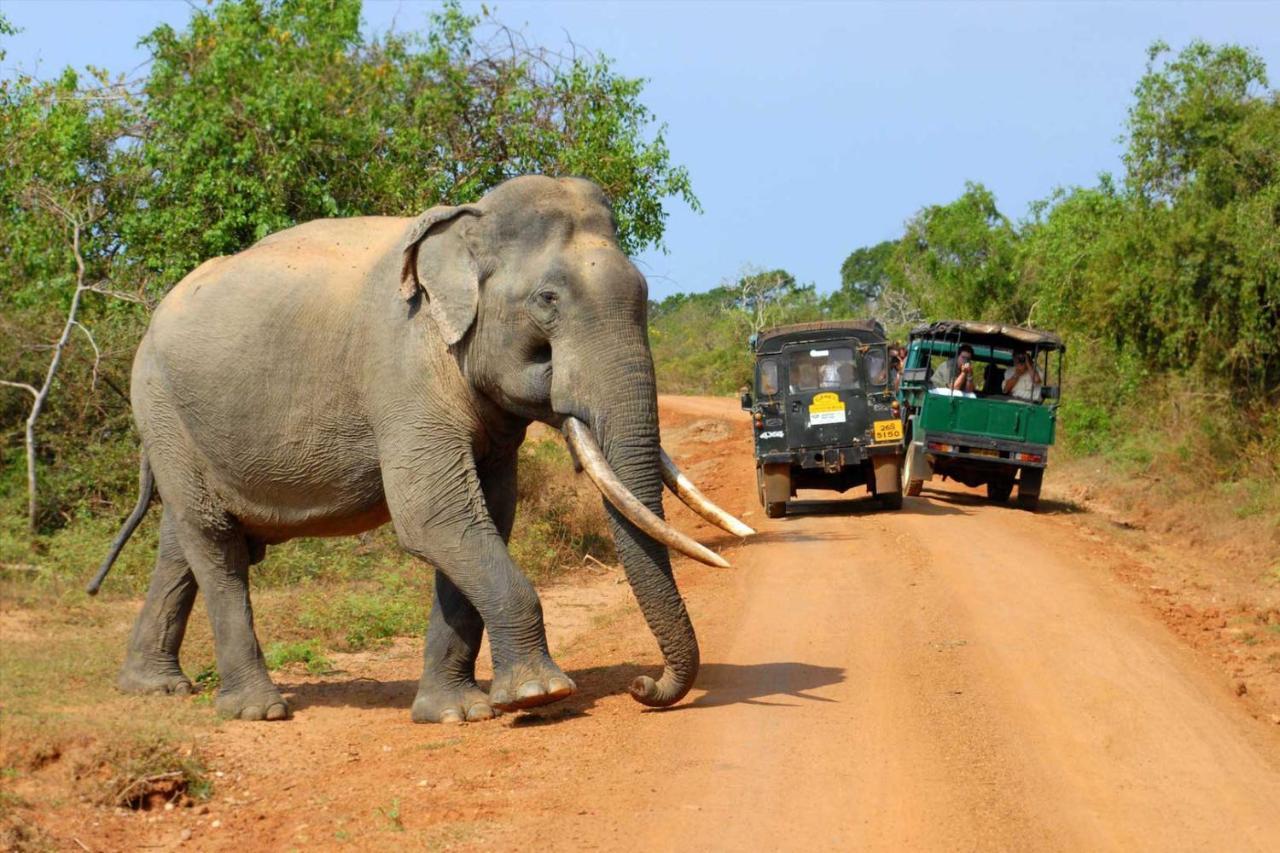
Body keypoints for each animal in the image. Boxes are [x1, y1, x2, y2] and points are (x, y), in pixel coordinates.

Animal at [90, 175, 747, 722]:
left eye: (643, 293)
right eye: (548, 300)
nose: (643, 685)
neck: (466, 226)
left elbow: (487, 516)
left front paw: (456, 713)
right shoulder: (402, 368)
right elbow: (434, 516)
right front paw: (540, 696)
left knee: (183, 538)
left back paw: (152, 687)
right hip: (160, 403)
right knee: (215, 540)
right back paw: (258, 710)